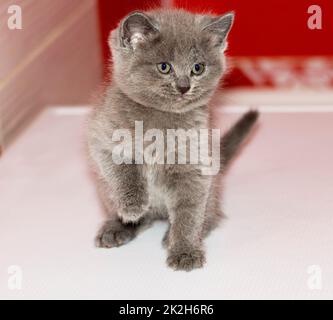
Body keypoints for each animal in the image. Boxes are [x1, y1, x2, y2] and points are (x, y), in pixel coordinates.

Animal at [87, 8, 256, 272]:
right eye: (164, 67)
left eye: (198, 68)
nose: (184, 86)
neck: (160, 119)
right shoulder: (102, 137)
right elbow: (122, 168)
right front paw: (132, 206)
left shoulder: (195, 163)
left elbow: (189, 210)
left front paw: (185, 250)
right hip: (103, 190)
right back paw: (118, 226)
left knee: (210, 214)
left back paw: (171, 234)